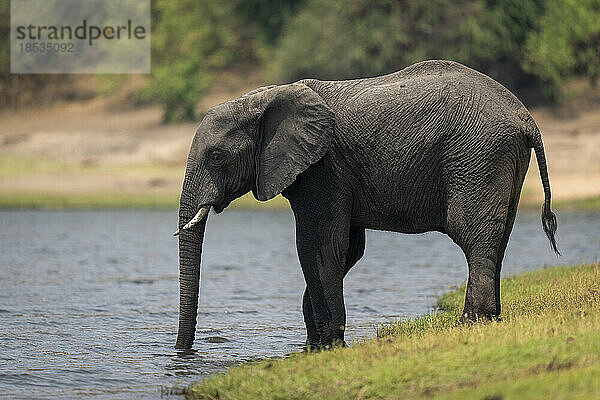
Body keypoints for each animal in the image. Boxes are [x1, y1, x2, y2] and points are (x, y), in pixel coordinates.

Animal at [172, 59, 556, 350]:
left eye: (217, 156)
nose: (182, 352)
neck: (265, 97)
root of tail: (526, 117)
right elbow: (348, 250)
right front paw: (314, 346)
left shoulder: (322, 169)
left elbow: (318, 245)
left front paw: (329, 346)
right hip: (501, 159)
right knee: (497, 237)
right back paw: (491, 320)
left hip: (478, 157)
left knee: (474, 235)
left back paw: (471, 324)